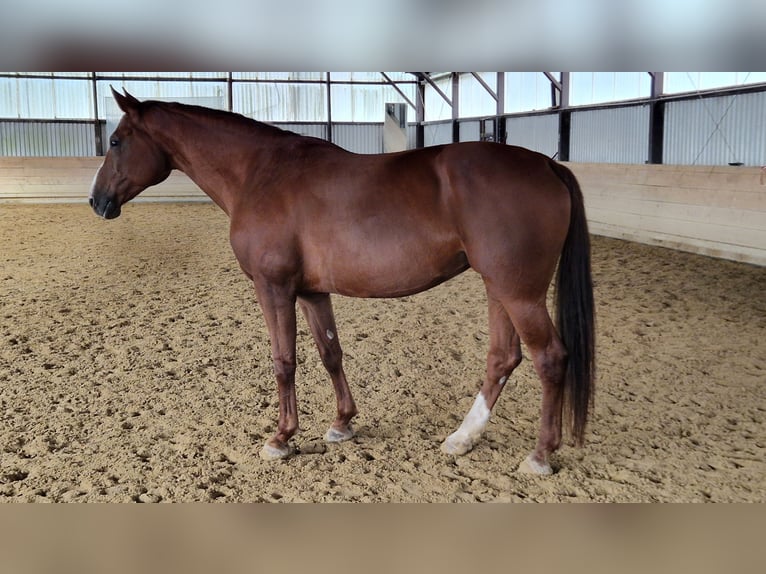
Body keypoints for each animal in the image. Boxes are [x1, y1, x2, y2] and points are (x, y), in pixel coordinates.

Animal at [88, 89, 592, 476]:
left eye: (115, 139)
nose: (97, 201)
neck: (259, 173)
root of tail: (547, 165)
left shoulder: (273, 288)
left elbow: (284, 361)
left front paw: (281, 438)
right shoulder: (312, 291)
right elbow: (330, 352)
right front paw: (342, 423)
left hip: (519, 293)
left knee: (549, 358)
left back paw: (540, 455)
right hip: (497, 287)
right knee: (503, 358)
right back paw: (462, 438)